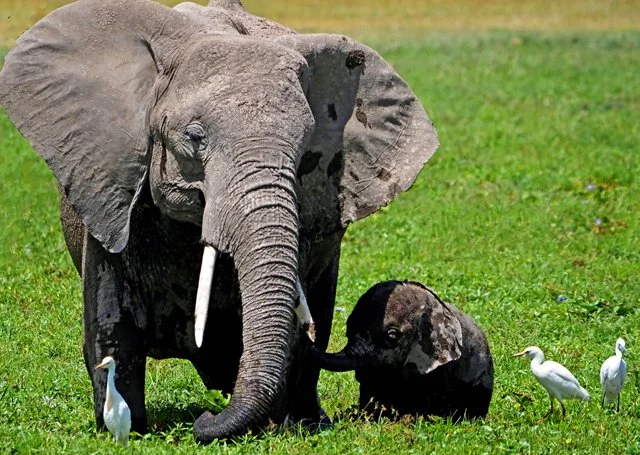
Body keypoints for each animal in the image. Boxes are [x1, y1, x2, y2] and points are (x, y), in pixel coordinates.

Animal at [0, 0, 438, 442]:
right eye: (194, 138)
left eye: (306, 152)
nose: (204, 418)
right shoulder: (110, 189)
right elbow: (111, 328)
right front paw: (127, 432)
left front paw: (273, 425)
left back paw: (310, 420)